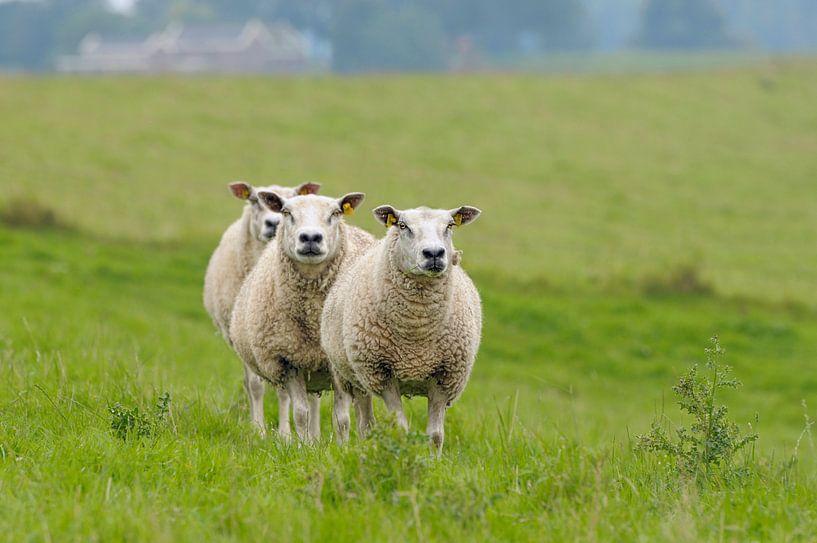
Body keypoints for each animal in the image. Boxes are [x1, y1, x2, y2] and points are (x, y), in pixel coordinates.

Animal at [202, 180, 320, 438]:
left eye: (295, 199)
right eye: (254, 200)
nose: (273, 223)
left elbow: (285, 392)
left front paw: (285, 434)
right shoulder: (250, 338)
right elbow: (255, 386)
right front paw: (258, 430)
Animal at [226, 191, 372, 442]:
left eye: (336, 213)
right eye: (287, 212)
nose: (310, 237)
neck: (314, 320)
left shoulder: (335, 362)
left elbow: (342, 419)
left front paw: (343, 447)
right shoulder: (287, 360)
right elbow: (301, 413)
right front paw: (304, 446)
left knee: (363, 408)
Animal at [320, 203, 484, 450]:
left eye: (449, 225)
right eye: (403, 225)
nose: (433, 253)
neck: (417, 329)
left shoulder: (446, 376)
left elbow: (436, 435)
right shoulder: (382, 373)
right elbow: (400, 428)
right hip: (349, 375)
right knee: (357, 421)